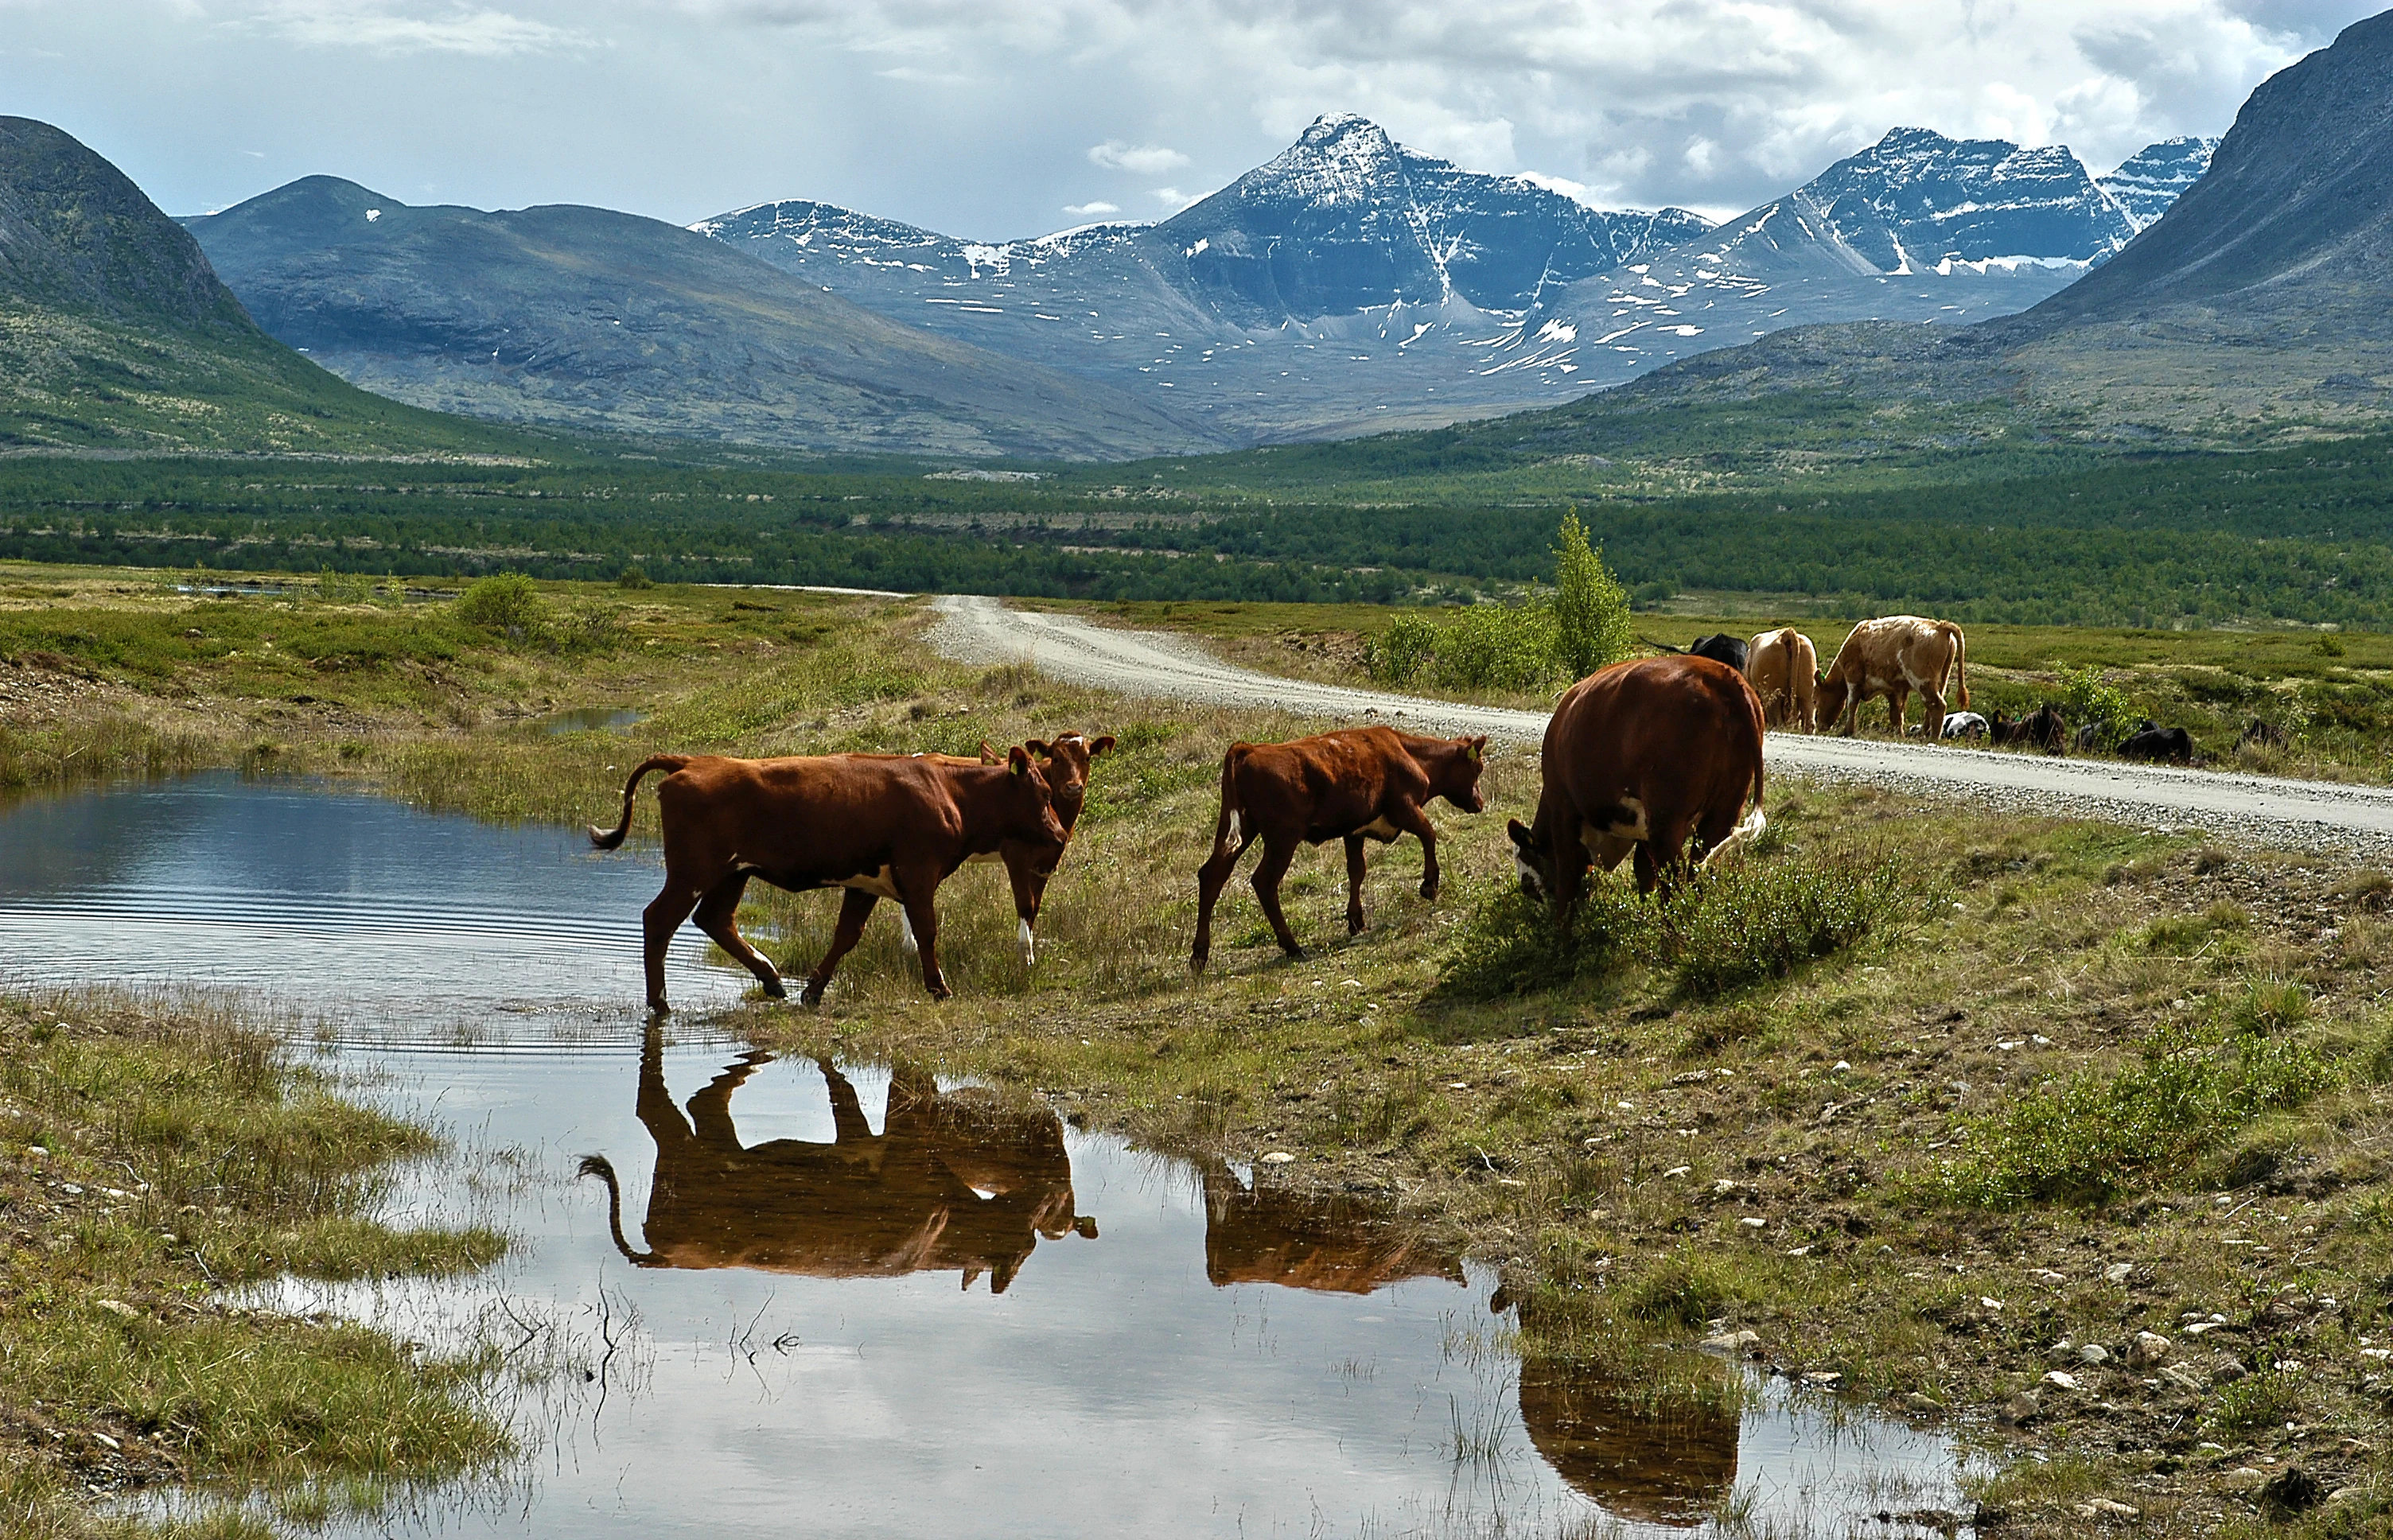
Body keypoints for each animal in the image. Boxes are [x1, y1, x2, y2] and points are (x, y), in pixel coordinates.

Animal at [578, 1028, 1093, 1292]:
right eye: (1028, 1244)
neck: (947, 1217)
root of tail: (664, 1255)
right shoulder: (900, 1141)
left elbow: (846, 1095)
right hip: (689, 1155)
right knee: (664, 1107)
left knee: (696, 1104)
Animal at [589, 745, 1067, 1011]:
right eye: (1044, 793)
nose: (1062, 833)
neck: (951, 791)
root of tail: (693, 761)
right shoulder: (918, 874)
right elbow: (926, 932)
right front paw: (938, 987)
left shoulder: (863, 883)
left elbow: (846, 935)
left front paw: (814, 990)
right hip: (693, 870)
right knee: (659, 920)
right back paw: (660, 1002)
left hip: (732, 873)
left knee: (716, 920)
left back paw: (772, 979)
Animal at [1190, 727, 1486, 971]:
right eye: (1478, 768)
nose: (1480, 802)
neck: (1410, 753)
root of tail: (1248, 748)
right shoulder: (1404, 809)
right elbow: (1429, 835)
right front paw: (1429, 885)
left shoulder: (1353, 831)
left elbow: (1357, 871)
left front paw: (1356, 920)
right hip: (1282, 838)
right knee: (1264, 881)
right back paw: (1292, 947)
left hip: (1236, 830)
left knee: (1212, 875)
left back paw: (1199, 955)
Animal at [1506, 655, 1767, 911]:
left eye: (1528, 886)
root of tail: (1719, 674)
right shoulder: (1645, 832)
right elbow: (1643, 873)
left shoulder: (1563, 809)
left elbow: (1567, 879)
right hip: (1721, 816)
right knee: (1695, 875)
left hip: (1666, 820)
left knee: (1673, 885)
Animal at [1815, 616, 1969, 739]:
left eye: (1816, 700)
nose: (1819, 725)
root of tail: (1939, 626)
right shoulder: (1895, 689)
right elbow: (1896, 714)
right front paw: (1900, 735)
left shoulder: (1853, 679)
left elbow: (1852, 705)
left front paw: (1848, 731)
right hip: (1941, 681)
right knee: (1929, 709)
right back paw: (1922, 734)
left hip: (1922, 681)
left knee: (1937, 705)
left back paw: (1931, 738)